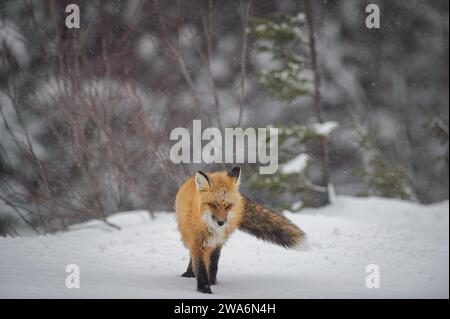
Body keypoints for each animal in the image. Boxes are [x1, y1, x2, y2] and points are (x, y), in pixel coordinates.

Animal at [174, 168, 308, 296]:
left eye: (228, 206)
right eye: (213, 205)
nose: (221, 222)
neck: (211, 228)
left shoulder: (217, 243)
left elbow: (213, 264)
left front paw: (212, 283)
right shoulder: (197, 242)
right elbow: (201, 268)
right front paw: (205, 291)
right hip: (187, 237)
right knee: (192, 256)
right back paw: (189, 273)